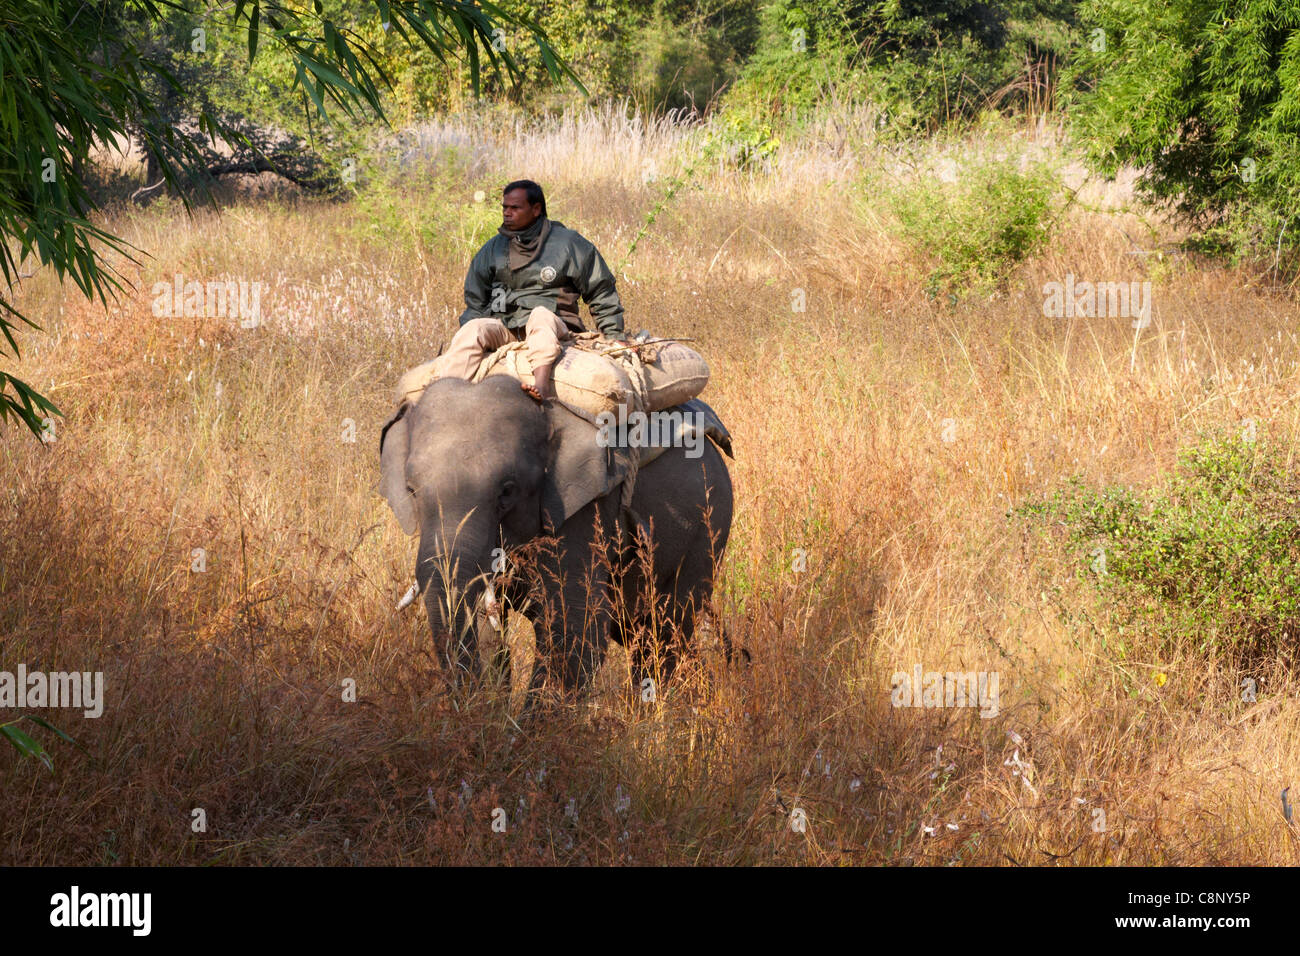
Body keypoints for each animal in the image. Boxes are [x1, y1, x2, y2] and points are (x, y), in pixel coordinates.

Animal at [379, 374, 734, 704]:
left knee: (667, 629)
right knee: (644, 631)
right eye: (411, 490)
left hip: (709, 525)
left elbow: (574, 630)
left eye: (507, 491)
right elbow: (485, 625)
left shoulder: (584, 510)